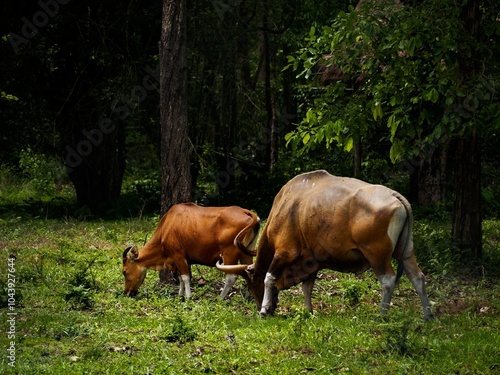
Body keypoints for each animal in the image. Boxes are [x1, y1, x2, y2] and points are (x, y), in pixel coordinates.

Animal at [122, 203, 260, 300]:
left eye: (124, 272)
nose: (127, 292)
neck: (167, 226)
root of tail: (246, 212)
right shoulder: (183, 259)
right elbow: (181, 277)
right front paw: (180, 294)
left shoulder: (179, 255)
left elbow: (185, 277)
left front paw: (188, 296)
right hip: (246, 252)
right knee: (249, 270)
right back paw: (248, 297)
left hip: (229, 253)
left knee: (231, 276)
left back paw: (221, 297)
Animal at [219, 170, 434, 320]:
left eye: (250, 283)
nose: (261, 307)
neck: (286, 206)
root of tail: (396, 196)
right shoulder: (310, 261)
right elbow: (307, 287)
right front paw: (309, 311)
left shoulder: (284, 253)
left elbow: (270, 277)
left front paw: (263, 310)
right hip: (405, 251)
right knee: (417, 277)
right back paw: (428, 315)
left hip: (377, 255)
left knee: (388, 280)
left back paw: (382, 315)